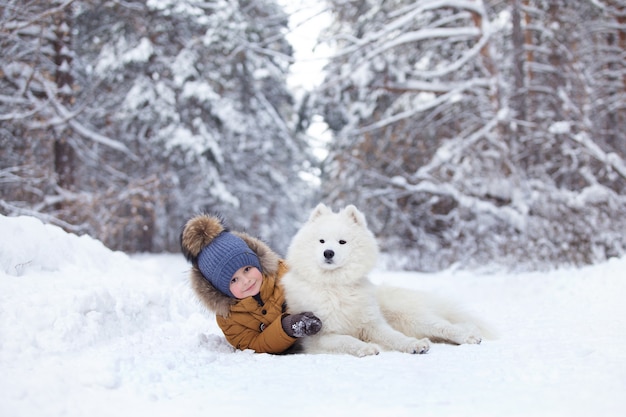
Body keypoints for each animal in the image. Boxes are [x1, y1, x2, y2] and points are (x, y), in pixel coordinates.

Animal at [280, 203, 488, 356]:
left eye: (342, 242)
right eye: (321, 241)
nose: (328, 253)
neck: (336, 286)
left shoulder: (373, 324)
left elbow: (395, 337)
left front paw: (413, 345)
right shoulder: (320, 336)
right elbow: (348, 340)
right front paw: (366, 348)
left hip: (408, 316)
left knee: (446, 326)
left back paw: (469, 336)